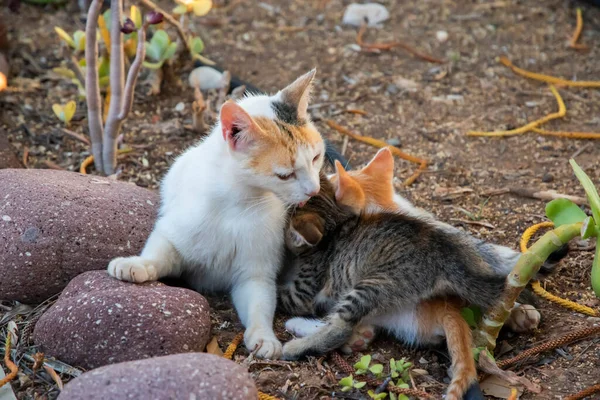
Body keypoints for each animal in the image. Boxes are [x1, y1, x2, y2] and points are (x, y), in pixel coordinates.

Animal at [106, 69, 324, 360]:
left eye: (316, 158)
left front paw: (264, 336)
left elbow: (260, 303)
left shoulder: (255, 273)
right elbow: (159, 252)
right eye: (284, 175)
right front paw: (137, 265)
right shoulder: (174, 233)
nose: (314, 190)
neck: (237, 203)